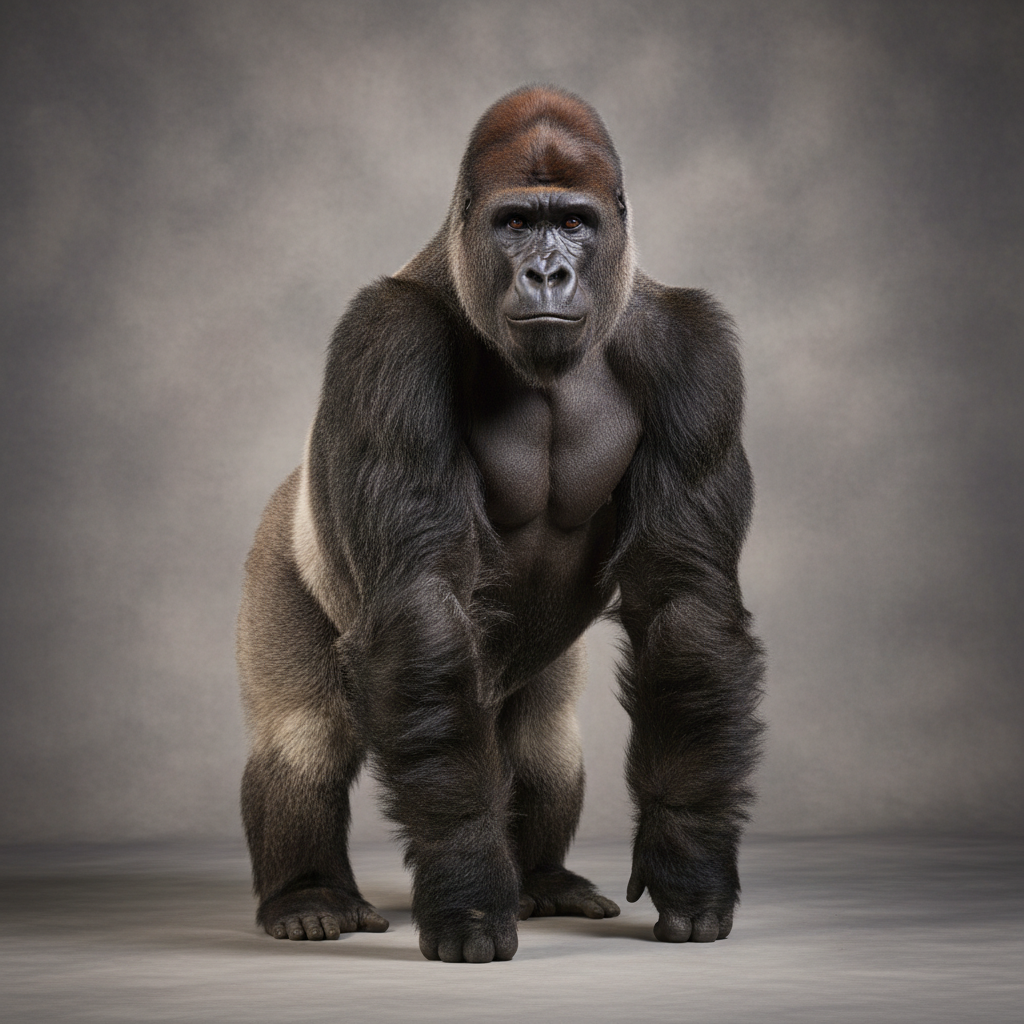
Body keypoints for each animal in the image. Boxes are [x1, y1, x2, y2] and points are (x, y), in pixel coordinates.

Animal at [238, 85, 764, 963]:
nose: (547, 272)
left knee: (543, 743)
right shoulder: (387, 340)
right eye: (515, 222)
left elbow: (683, 602)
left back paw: (543, 879)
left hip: (526, 684)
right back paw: (306, 894)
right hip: (275, 557)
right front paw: (467, 884)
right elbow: (420, 601)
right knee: (304, 738)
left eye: (575, 223)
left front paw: (689, 853)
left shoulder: (695, 354)